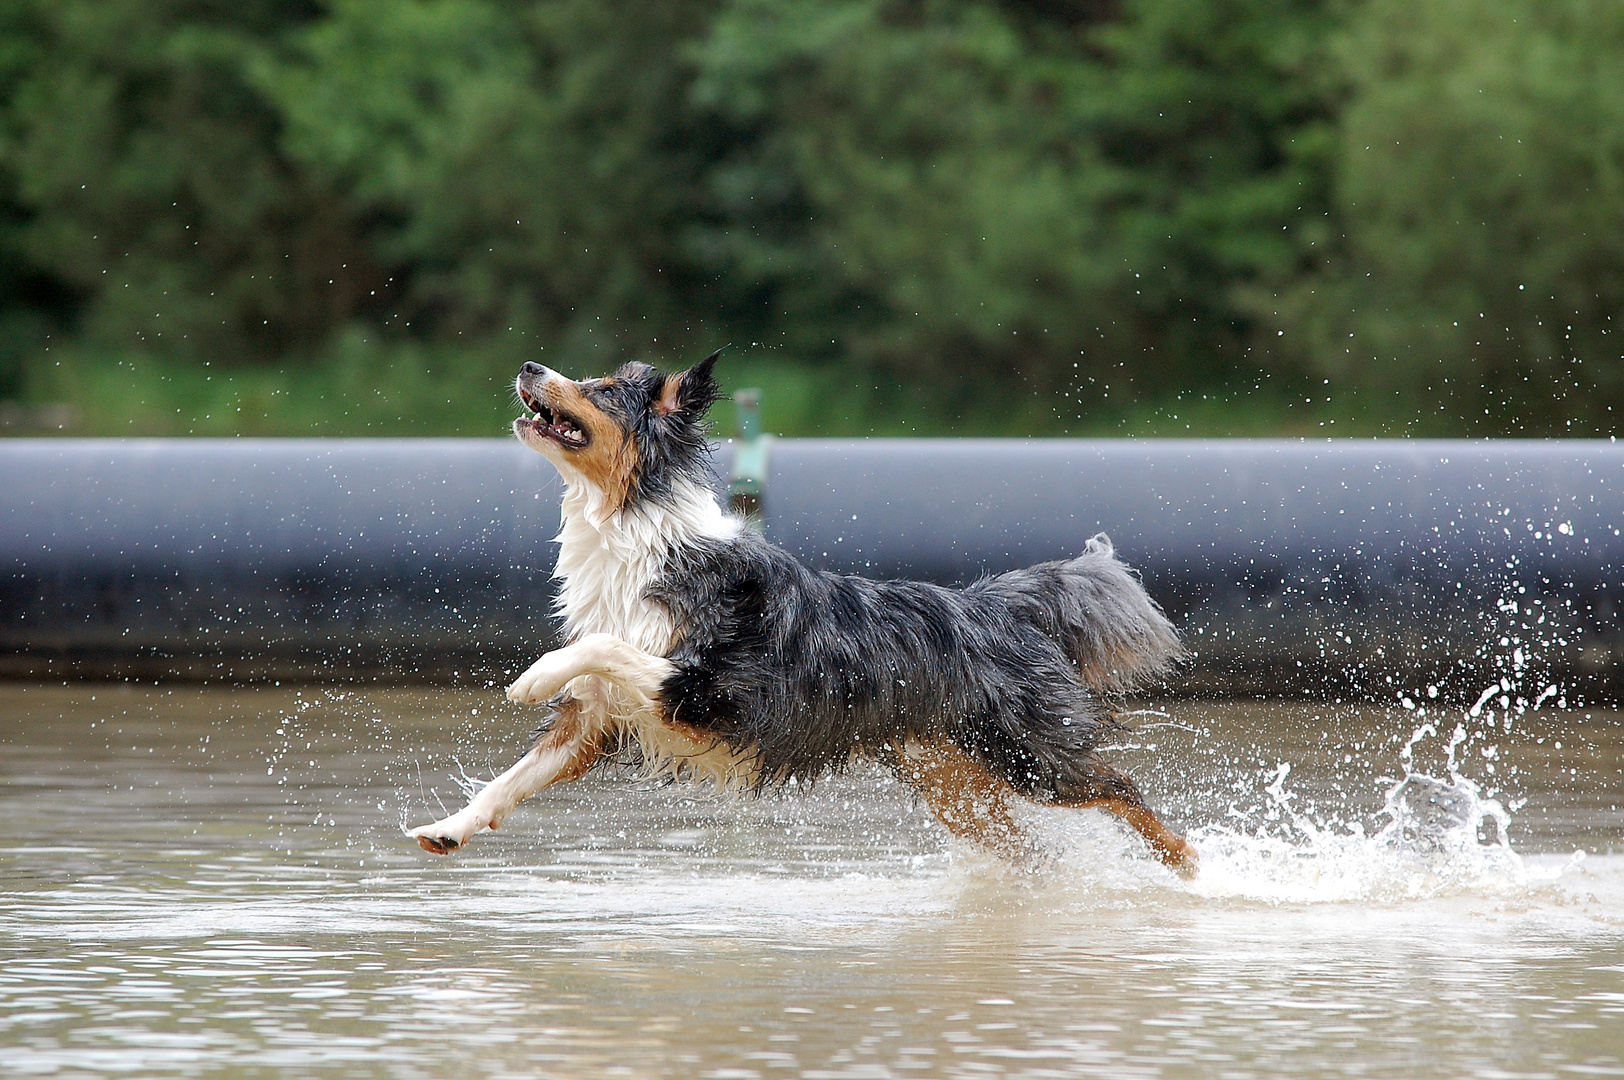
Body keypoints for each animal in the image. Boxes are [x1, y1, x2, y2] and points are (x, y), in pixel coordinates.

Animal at [406, 349, 1195, 870]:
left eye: (598, 390)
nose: (530, 364)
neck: (634, 529)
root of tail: (997, 602)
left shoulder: (708, 688)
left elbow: (600, 647)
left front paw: (533, 676)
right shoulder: (597, 719)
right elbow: (515, 774)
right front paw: (452, 825)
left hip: (1029, 756)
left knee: (1122, 788)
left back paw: (1192, 869)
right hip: (956, 780)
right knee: (1031, 845)